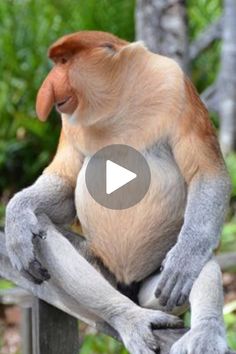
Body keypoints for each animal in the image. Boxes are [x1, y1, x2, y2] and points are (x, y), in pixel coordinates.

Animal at [4, 31, 231, 354]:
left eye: (64, 62)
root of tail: (128, 286)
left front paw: (184, 262)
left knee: (201, 258)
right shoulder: (69, 122)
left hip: (156, 285)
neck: (116, 101)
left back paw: (203, 331)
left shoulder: (176, 86)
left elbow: (207, 174)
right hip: (107, 274)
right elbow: (65, 185)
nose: (47, 86)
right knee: (44, 230)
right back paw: (129, 317)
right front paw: (17, 217)